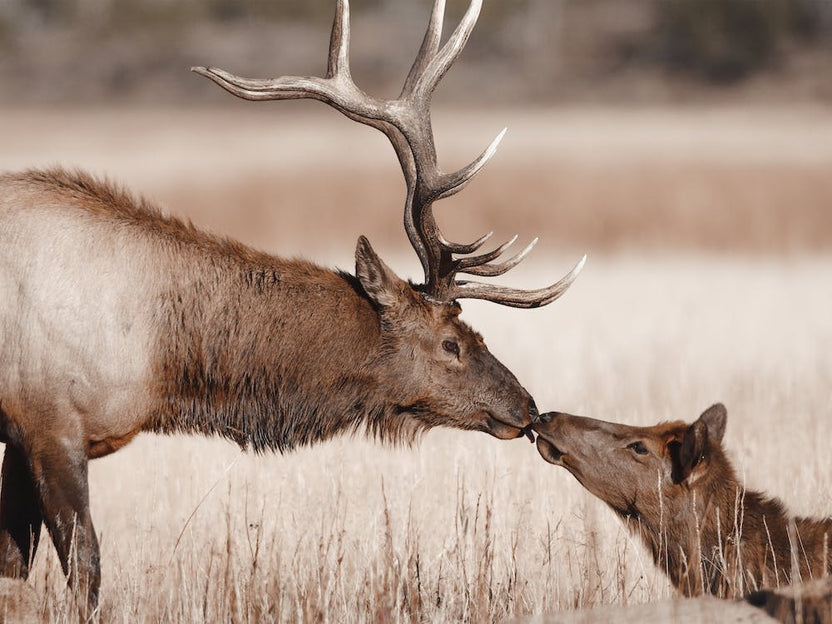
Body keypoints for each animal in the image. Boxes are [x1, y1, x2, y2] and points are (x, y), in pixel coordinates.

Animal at [0, 0, 584, 617]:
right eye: (450, 343)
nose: (526, 406)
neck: (162, 358)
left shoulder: (22, 440)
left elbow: (14, 567)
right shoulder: (50, 424)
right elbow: (84, 567)